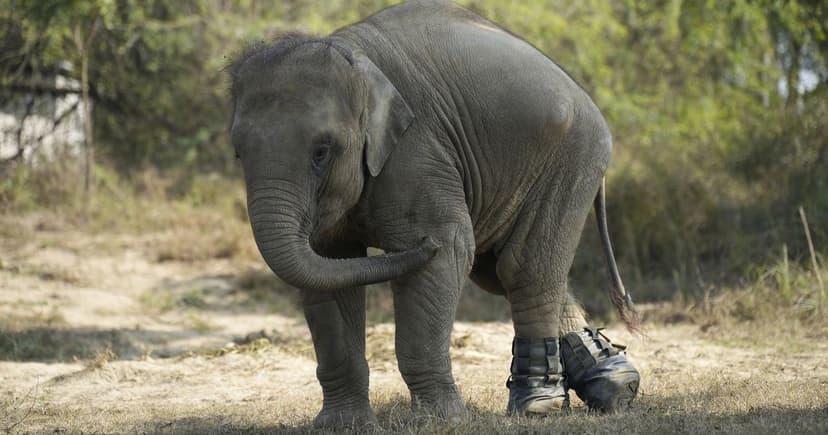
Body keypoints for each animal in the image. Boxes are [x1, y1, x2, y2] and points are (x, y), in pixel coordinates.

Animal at [229, 0, 640, 427]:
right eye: (238, 153)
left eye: (321, 152)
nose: (422, 247)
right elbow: (330, 267)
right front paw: (341, 426)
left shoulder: (417, 151)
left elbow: (447, 249)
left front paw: (442, 422)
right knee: (498, 271)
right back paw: (615, 382)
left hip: (571, 159)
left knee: (524, 269)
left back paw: (538, 404)